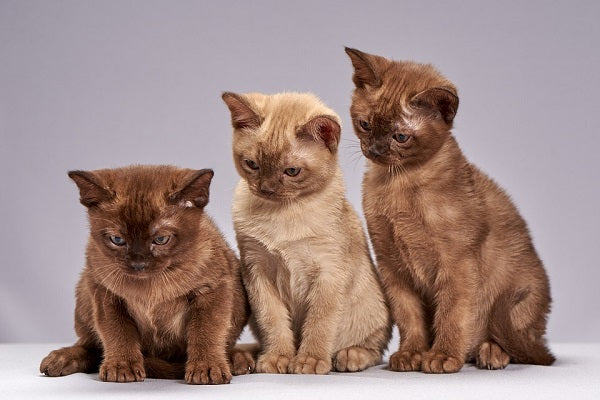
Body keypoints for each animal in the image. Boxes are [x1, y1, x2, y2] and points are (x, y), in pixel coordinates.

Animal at [37, 166, 253, 384]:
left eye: (161, 239)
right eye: (117, 239)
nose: (138, 264)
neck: (151, 285)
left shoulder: (212, 290)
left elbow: (206, 332)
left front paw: (206, 368)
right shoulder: (105, 292)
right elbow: (117, 332)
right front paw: (122, 367)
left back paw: (237, 359)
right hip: (83, 288)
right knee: (91, 347)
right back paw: (61, 359)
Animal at [223, 92, 392, 374]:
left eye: (292, 171)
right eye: (252, 165)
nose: (266, 189)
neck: (283, 214)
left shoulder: (328, 273)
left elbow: (318, 323)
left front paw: (309, 361)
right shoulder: (257, 270)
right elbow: (274, 322)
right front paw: (278, 358)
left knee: (374, 348)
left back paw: (350, 356)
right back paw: (244, 358)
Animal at [344, 48, 556, 374]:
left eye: (400, 137)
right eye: (365, 124)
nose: (376, 151)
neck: (398, 183)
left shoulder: (457, 265)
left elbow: (451, 315)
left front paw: (442, 357)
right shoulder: (393, 266)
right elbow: (409, 318)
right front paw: (411, 354)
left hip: (521, 293)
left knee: (515, 342)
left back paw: (489, 353)